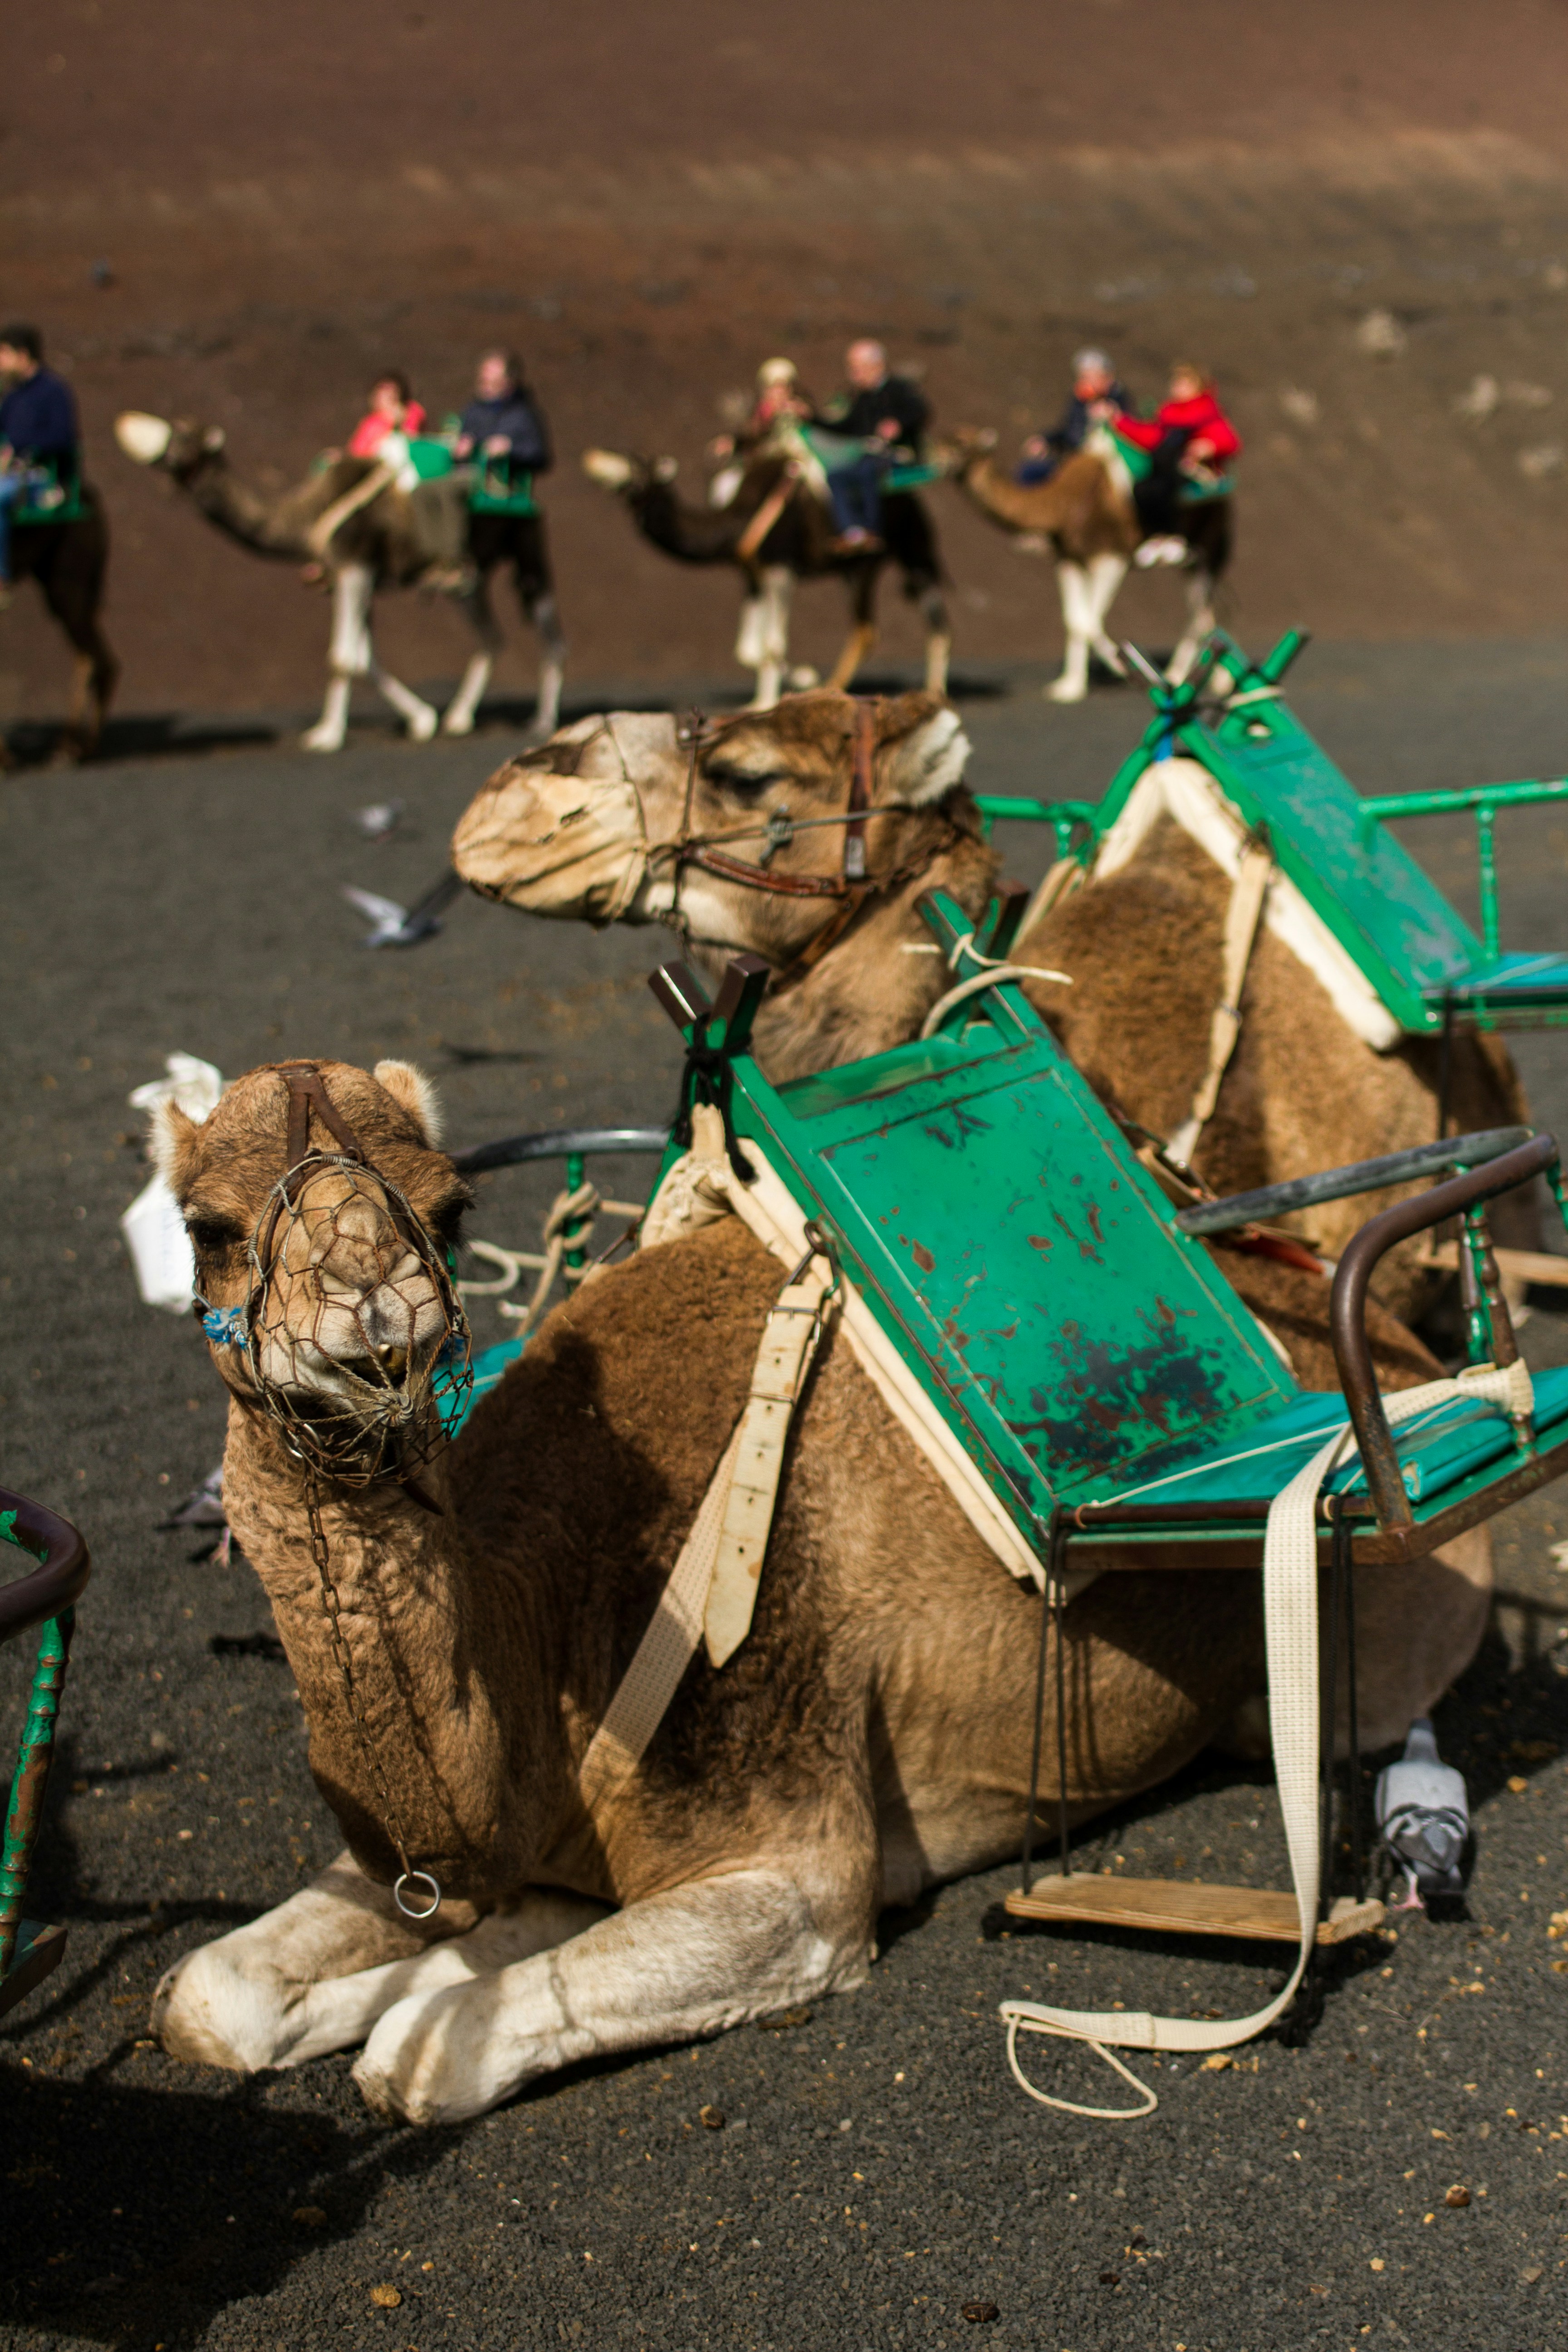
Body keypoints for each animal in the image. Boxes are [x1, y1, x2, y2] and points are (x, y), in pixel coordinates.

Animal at [3, 482, 119, 761]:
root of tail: (91, 492)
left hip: (67, 583)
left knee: (104, 661)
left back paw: (78, 747)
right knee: (91, 657)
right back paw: (70, 742)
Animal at [113, 413, 565, 752]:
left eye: (184, 436)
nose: (150, 444)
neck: (308, 513)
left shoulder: (355, 566)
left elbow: (344, 657)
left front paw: (328, 736)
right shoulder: (353, 575)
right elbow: (364, 656)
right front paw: (421, 720)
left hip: (528, 550)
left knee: (551, 633)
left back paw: (543, 721)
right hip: (471, 581)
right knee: (491, 635)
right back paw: (459, 717)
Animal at [148, 1049, 1489, 2125]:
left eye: (450, 1205)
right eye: (204, 1224)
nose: (377, 1319)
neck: (549, 1620)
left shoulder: (796, 1852)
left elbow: (419, 2060)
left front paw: (428, 1998)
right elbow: (204, 1995)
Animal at [581, 447, 950, 709]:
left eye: (637, 473)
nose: (594, 462)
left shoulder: (781, 568)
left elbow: (773, 644)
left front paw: (795, 684)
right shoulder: (754, 574)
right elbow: (747, 648)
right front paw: (761, 700)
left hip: (873, 559)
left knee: (870, 627)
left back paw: (832, 688)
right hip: (889, 560)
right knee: (931, 616)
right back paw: (933, 693)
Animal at [934, 428, 1231, 705]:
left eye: (961, 444)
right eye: (941, 440)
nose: (936, 459)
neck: (1067, 504)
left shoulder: (1111, 558)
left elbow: (1090, 621)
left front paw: (1121, 668)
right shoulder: (1070, 560)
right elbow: (1075, 620)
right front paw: (1070, 687)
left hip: (1208, 547)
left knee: (1202, 609)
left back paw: (1206, 679)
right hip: (1191, 561)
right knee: (1201, 612)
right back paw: (1185, 674)